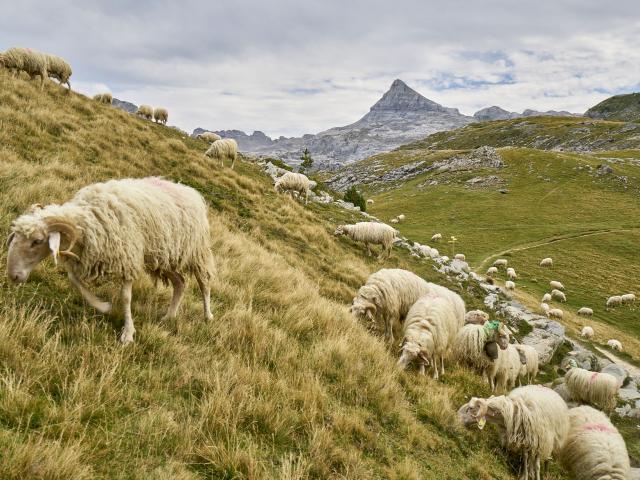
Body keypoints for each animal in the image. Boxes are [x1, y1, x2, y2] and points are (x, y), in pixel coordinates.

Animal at [5, 177, 215, 344]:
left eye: (37, 241)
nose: (13, 276)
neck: (89, 220)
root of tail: (190, 191)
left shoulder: (128, 258)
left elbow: (126, 297)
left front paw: (128, 334)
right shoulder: (85, 256)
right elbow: (74, 280)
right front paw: (103, 306)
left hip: (196, 252)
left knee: (203, 283)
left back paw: (208, 315)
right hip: (164, 256)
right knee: (180, 282)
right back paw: (169, 316)